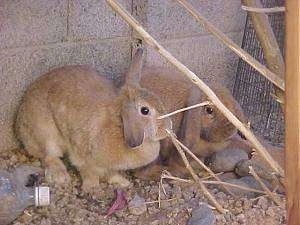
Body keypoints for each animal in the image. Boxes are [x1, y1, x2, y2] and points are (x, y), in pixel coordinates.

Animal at [15, 48, 172, 192]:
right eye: (145, 110)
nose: (167, 128)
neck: (119, 124)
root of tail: (19, 122)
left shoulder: (109, 166)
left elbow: (111, 173)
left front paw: (122, 182)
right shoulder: (83, 156)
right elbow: (88, 172)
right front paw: (92, 188)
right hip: (45, 133)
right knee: (49, 155)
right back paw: (60, 176)